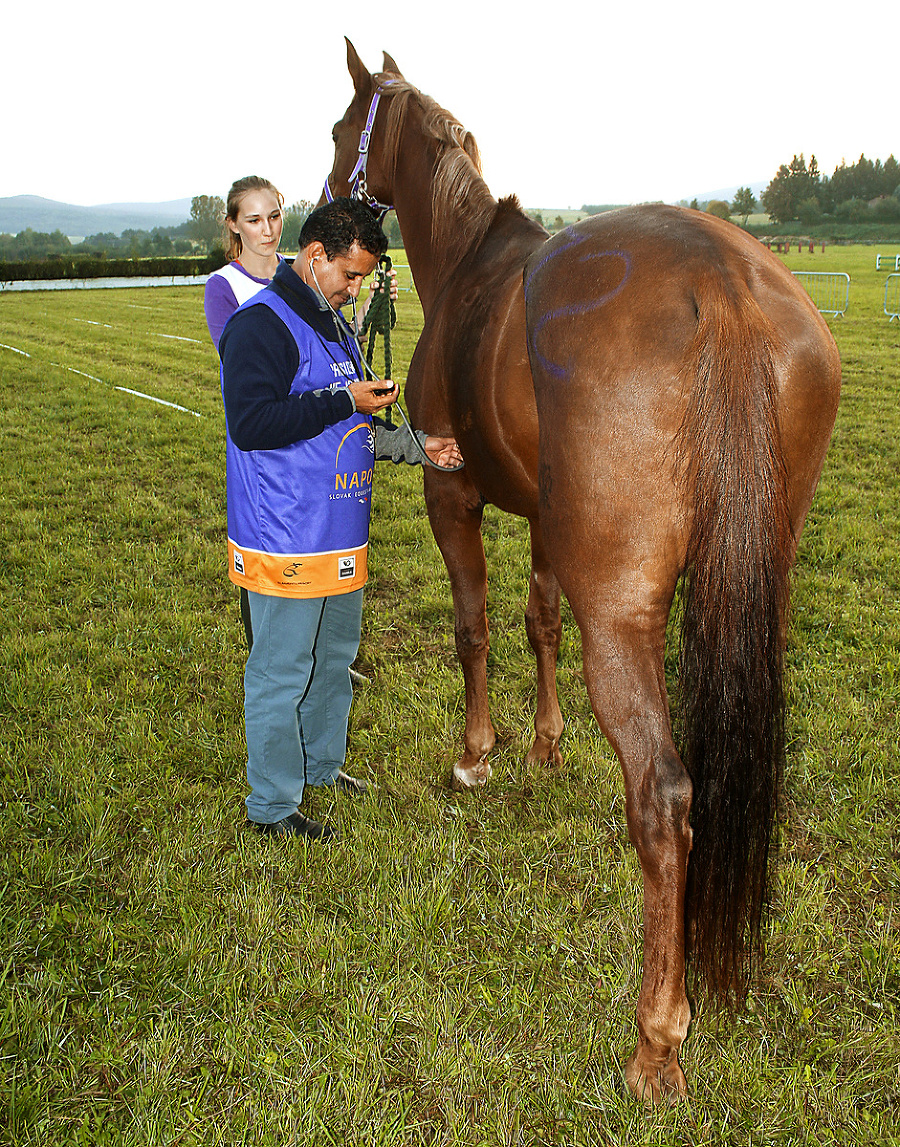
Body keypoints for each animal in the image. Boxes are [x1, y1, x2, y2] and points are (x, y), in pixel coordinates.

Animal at [321, 44, 834, 1101]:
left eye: (341, 129)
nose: (318, 203)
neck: (469, 266)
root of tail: (722, 277)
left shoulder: (453, 496)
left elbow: (475, 626)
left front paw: (478, 752)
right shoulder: (548, 528)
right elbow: (537, 620)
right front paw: (548, 746)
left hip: (625, 616)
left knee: (666, 798)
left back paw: (656, 1041)